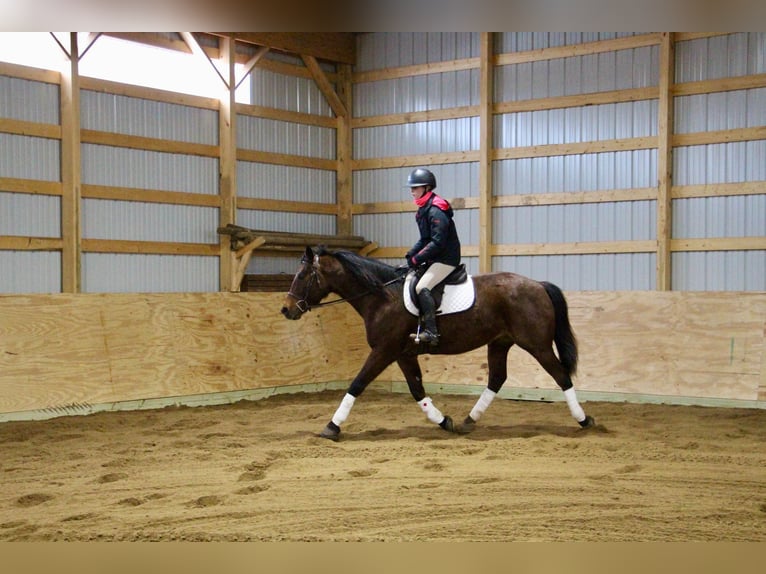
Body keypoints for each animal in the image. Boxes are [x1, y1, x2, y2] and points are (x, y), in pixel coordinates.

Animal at [284, 245, 600, 444]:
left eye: (302, 276)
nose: (286, 310)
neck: (382, 297)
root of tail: (537, 284)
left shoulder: (384, 351)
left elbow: (357, 384)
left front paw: (332, 426)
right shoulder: (402, 354)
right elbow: (416, 390)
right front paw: (443, 421)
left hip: (537, 345)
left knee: (561, 376)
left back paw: (584, 420)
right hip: (500, 342)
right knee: (497, 378)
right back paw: (468, 420)